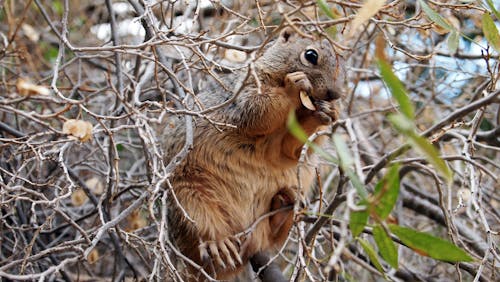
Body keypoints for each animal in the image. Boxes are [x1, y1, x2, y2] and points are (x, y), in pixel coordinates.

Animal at [164, 27, 344, 282]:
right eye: (310, 55)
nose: (334, 94)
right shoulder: (246, 91)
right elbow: (258, 110)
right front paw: (293, 87)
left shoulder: (285, 146)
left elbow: (291, 149)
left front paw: (326, 113)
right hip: (187, 195)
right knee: (202, 225)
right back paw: (219, 243)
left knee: (271, 236)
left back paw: (283, 205)